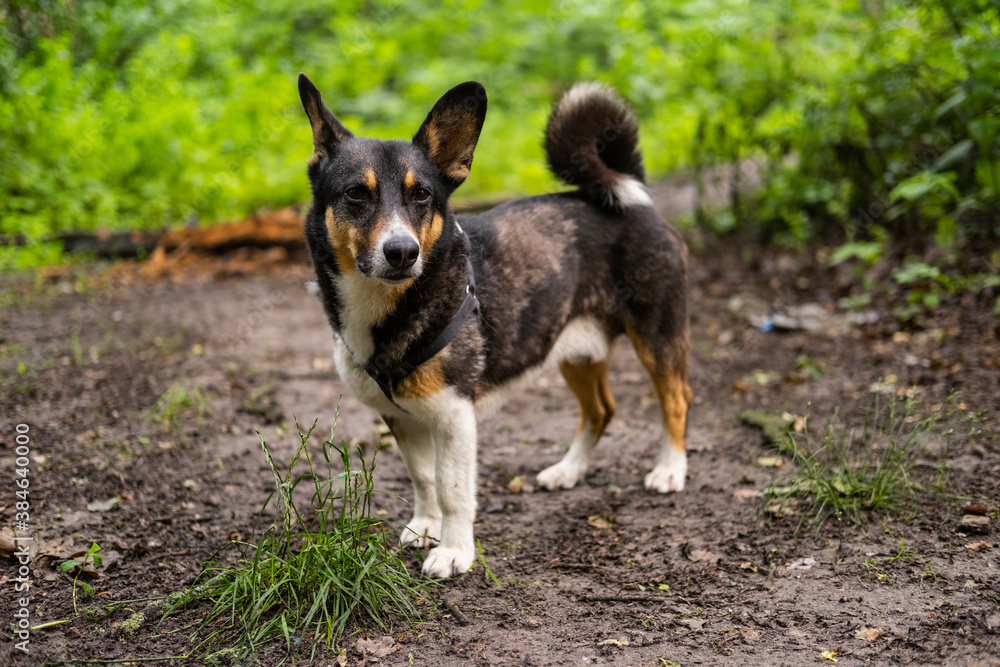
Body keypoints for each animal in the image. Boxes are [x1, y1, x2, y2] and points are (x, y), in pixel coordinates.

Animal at [294, 74, 688, 580]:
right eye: (356, 195)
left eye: (421, 195)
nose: (402, 252)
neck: (391, 307)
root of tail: (629, 196)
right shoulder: (401, 416)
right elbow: (423, 477)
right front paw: (426, 526)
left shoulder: (454, 417)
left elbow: (452, 487)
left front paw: (454, 550)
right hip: (575, 350)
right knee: (602, 410)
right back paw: (569, 470)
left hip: (658, 337)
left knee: (676, 399)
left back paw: (670, 469)